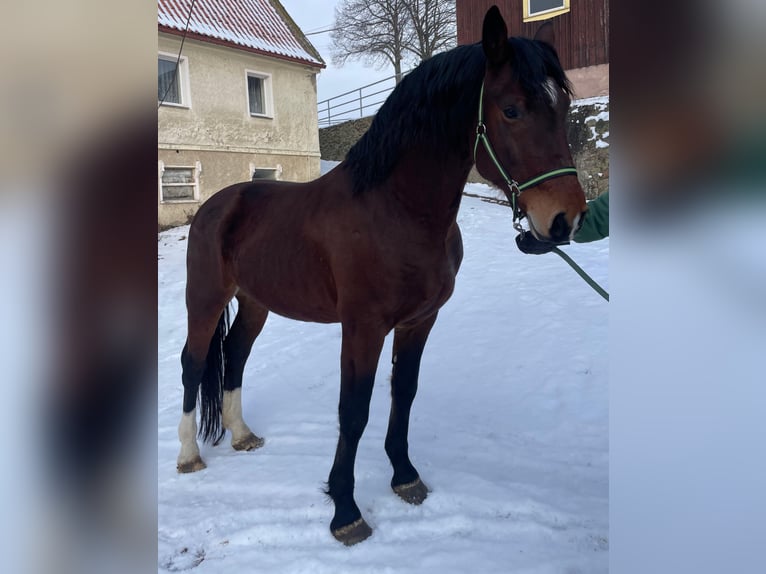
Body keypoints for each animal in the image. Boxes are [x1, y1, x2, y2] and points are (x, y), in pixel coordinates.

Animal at [176, 6, 588, 548]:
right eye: (512, 110)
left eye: (564, 106)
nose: (565, 221)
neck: (395, 210)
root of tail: (216, 204)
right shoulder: (363, 327)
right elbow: (353, 411)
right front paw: (345, 512)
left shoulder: (419, 322)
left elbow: (404, 393)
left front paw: (405, 476)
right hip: (205, 299)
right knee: (193, 363)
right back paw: (188, 456)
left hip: (256, 302)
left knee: (236, 355)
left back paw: (242, 435)